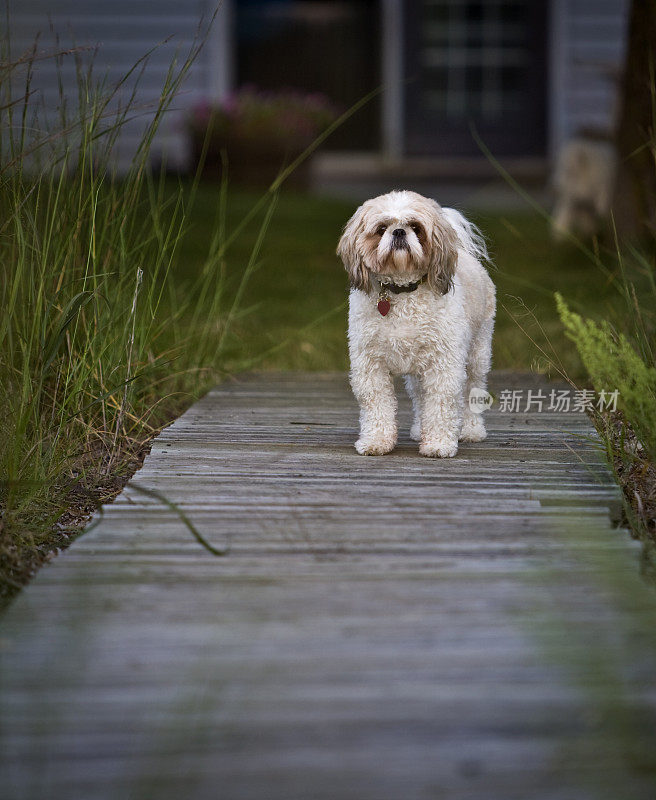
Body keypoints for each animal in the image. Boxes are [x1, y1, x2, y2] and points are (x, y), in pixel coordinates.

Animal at [338, 188, 498, 460]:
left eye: (415, 226)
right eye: (381, 228)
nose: (399, 232)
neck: (402, 291)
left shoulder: (444, 364)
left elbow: (441, 402)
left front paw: (439, 444)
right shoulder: (370, 364)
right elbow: (377, 403)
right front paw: (376, 441)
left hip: (477, 354)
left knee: (471, 390)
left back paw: (470, 430)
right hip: (417, 371)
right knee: (420, 397)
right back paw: (419, 429)